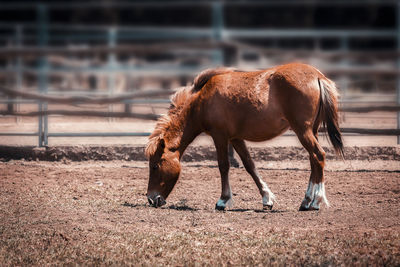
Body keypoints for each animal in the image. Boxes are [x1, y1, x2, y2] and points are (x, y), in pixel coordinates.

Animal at [145, 62, 342, 211]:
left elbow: (223, 166)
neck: (202, 101)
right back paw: (306, 201)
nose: (151, 199)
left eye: (155, 166)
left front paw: (223, 200)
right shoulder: (236, 138)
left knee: (318, 156)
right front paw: (267, 198)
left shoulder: (220, 136)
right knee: (314, 160)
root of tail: (318, 76)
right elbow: (250, 166)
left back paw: (316, 201)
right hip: (311, 131)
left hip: (303, 130)